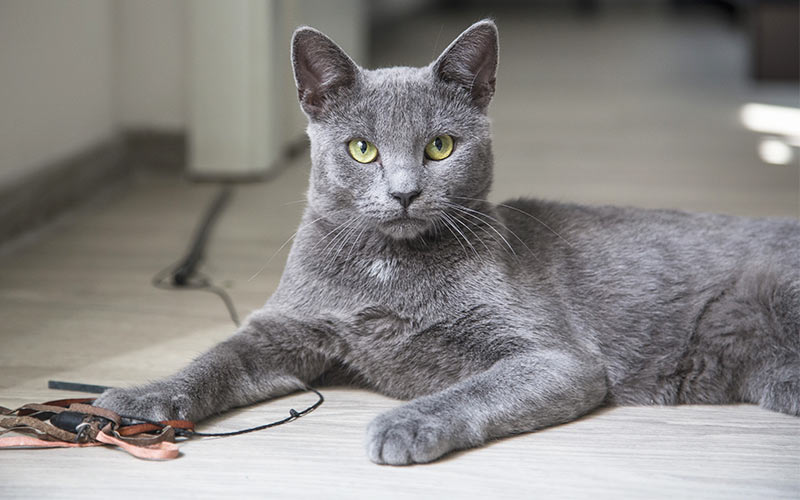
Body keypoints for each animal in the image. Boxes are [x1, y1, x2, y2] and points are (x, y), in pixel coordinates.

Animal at [95, 18, 800, 464]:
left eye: (440, 146)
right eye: (362, 149)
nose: (405, 192)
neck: (387, 268)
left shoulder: (556, 357)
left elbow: (473, 388)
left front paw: (404, 424)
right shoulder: (285, 327)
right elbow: (215, 359)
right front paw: (138, 397)